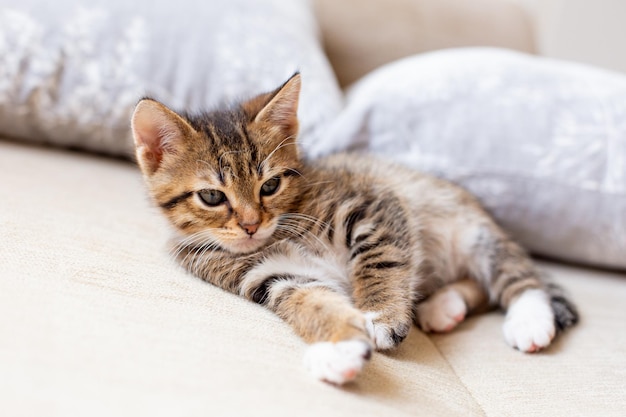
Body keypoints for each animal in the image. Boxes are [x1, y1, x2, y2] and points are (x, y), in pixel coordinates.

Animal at [130, 72, 576, 384]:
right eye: (211, 196)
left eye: (270, 186)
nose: (252, 224)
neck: (283, 228)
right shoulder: (268, 275)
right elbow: (308, 300)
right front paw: (339, 344)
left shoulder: (370, 202)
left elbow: (381, 259)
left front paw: (381, 314)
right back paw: (443, 307)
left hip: (474, 232)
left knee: (516, 273)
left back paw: (529, 318)